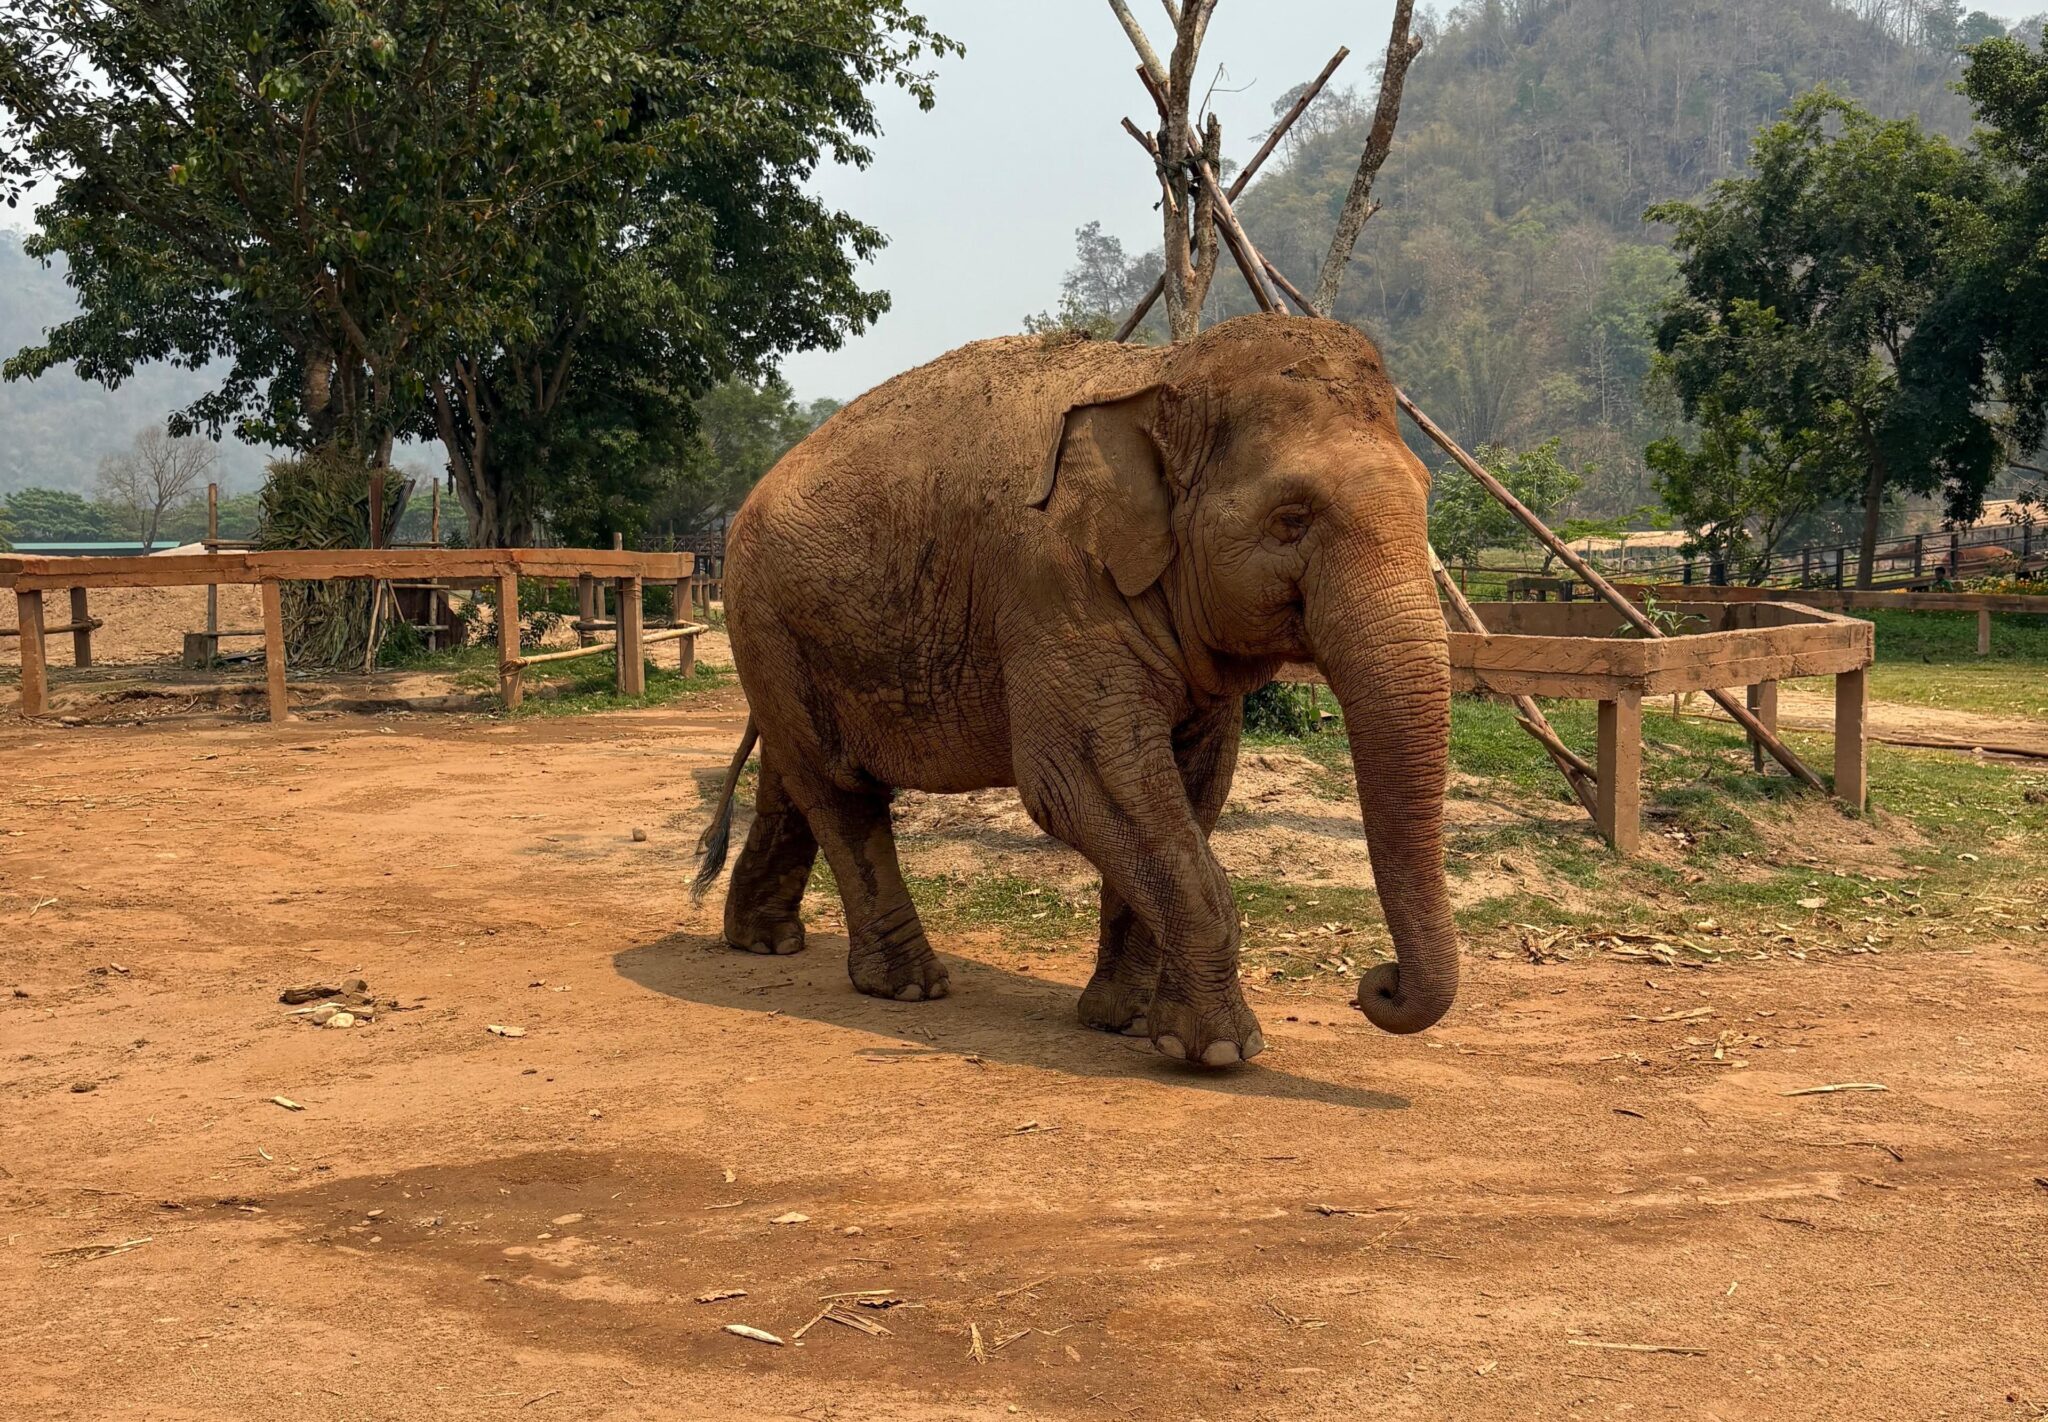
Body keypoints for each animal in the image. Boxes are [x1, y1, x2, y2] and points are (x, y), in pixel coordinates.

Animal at [694, 312, 1457, 1067]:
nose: (1379, 984)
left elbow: (1193, 785)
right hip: (764, 614)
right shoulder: (1053, 581)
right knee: (840, 790)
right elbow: (1081, 781)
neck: (1163, 374)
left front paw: (1125, 1021)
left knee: (795, 776)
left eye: (1426, 497)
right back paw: (909, 987)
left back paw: (763, 942)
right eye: (1291, 519)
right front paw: (1219, 1051)